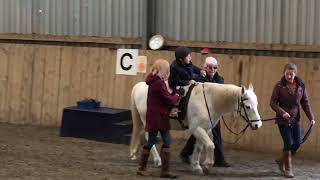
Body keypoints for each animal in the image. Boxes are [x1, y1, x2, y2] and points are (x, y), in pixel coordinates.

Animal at [130, 81, 262, 174]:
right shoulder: (196, 128)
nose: (257, 124)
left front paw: (196, 166)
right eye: (248, 106)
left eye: (257, 104)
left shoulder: (205, 129)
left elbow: (199, 147)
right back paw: (157, 160)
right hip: (148, 120)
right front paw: (208, 164)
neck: (209, 101)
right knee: (148, 137)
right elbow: (210, 145)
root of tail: (140, 86)